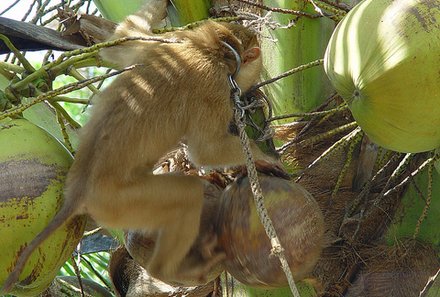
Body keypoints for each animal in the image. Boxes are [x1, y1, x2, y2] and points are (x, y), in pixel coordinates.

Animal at [2, 0, 272, 292]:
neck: (210, 48)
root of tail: (77, 192)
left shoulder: (168, 43)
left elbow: (121, 42)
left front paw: (159, 6)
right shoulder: (215, 86)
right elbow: (206, 150)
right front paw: (265, 158)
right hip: (118, 202)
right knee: (187, 195)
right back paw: (168, 269)